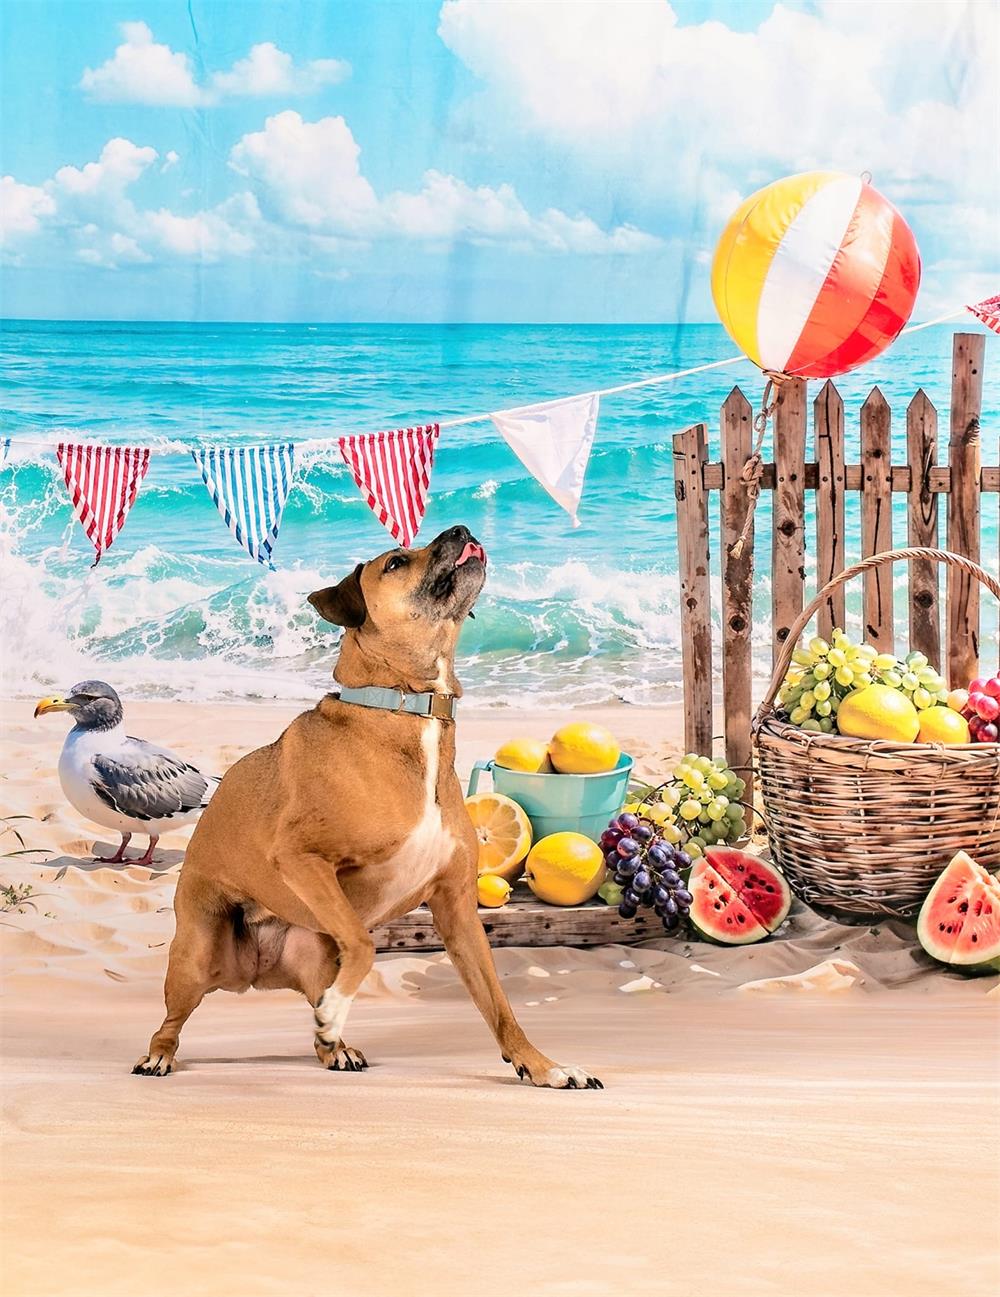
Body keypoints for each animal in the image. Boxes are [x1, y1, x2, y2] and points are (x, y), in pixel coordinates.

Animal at [132, 521, 601, 1089]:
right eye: (395, 562)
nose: (462, 528)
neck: (406, 709)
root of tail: (256, 972)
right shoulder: (301, 858)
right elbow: (366, 943)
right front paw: (336, 1011)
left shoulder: (457, 911)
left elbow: (498, 1004)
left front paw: (543, 1067)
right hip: (199, 953)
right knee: (170, 1020)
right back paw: (161, 1055)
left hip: (314, 949)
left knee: (318, 1016)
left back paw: (337, 1045)